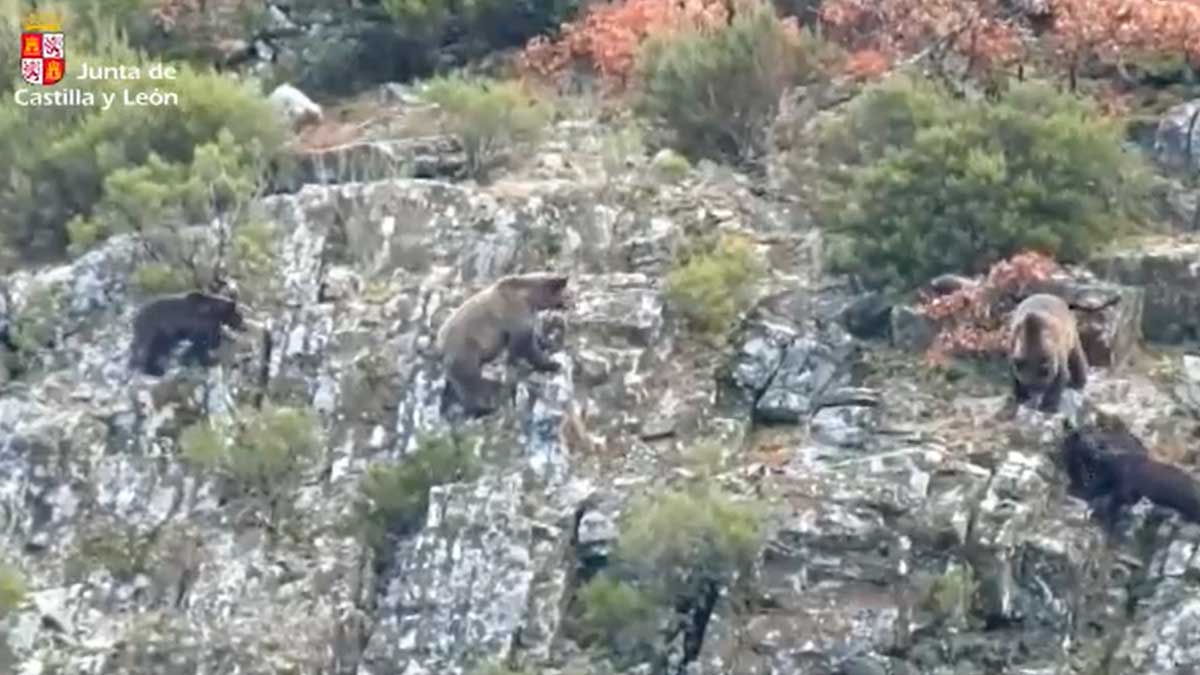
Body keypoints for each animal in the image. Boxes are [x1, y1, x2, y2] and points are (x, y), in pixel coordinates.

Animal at [436, 270, 571, 417]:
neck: (528, 297)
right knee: (471, 383)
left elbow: (532, 338)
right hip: (465, 352)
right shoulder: (515, 315)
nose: (570, 303)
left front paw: (547, 343)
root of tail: (439, 345)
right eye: (566, 293)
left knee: (456, 385)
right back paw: (483, 408)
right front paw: (551, 363)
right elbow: (524, 345)